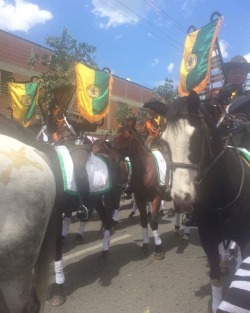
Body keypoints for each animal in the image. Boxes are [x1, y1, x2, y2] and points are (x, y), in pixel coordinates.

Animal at [112, 117, 165, 258]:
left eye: (125, 138)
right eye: (114, 137)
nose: (111, 160)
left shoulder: (156, 197)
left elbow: (153, 223)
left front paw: (158, 249)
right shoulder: (140, 197)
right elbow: (144, 221)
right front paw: (145, 245)